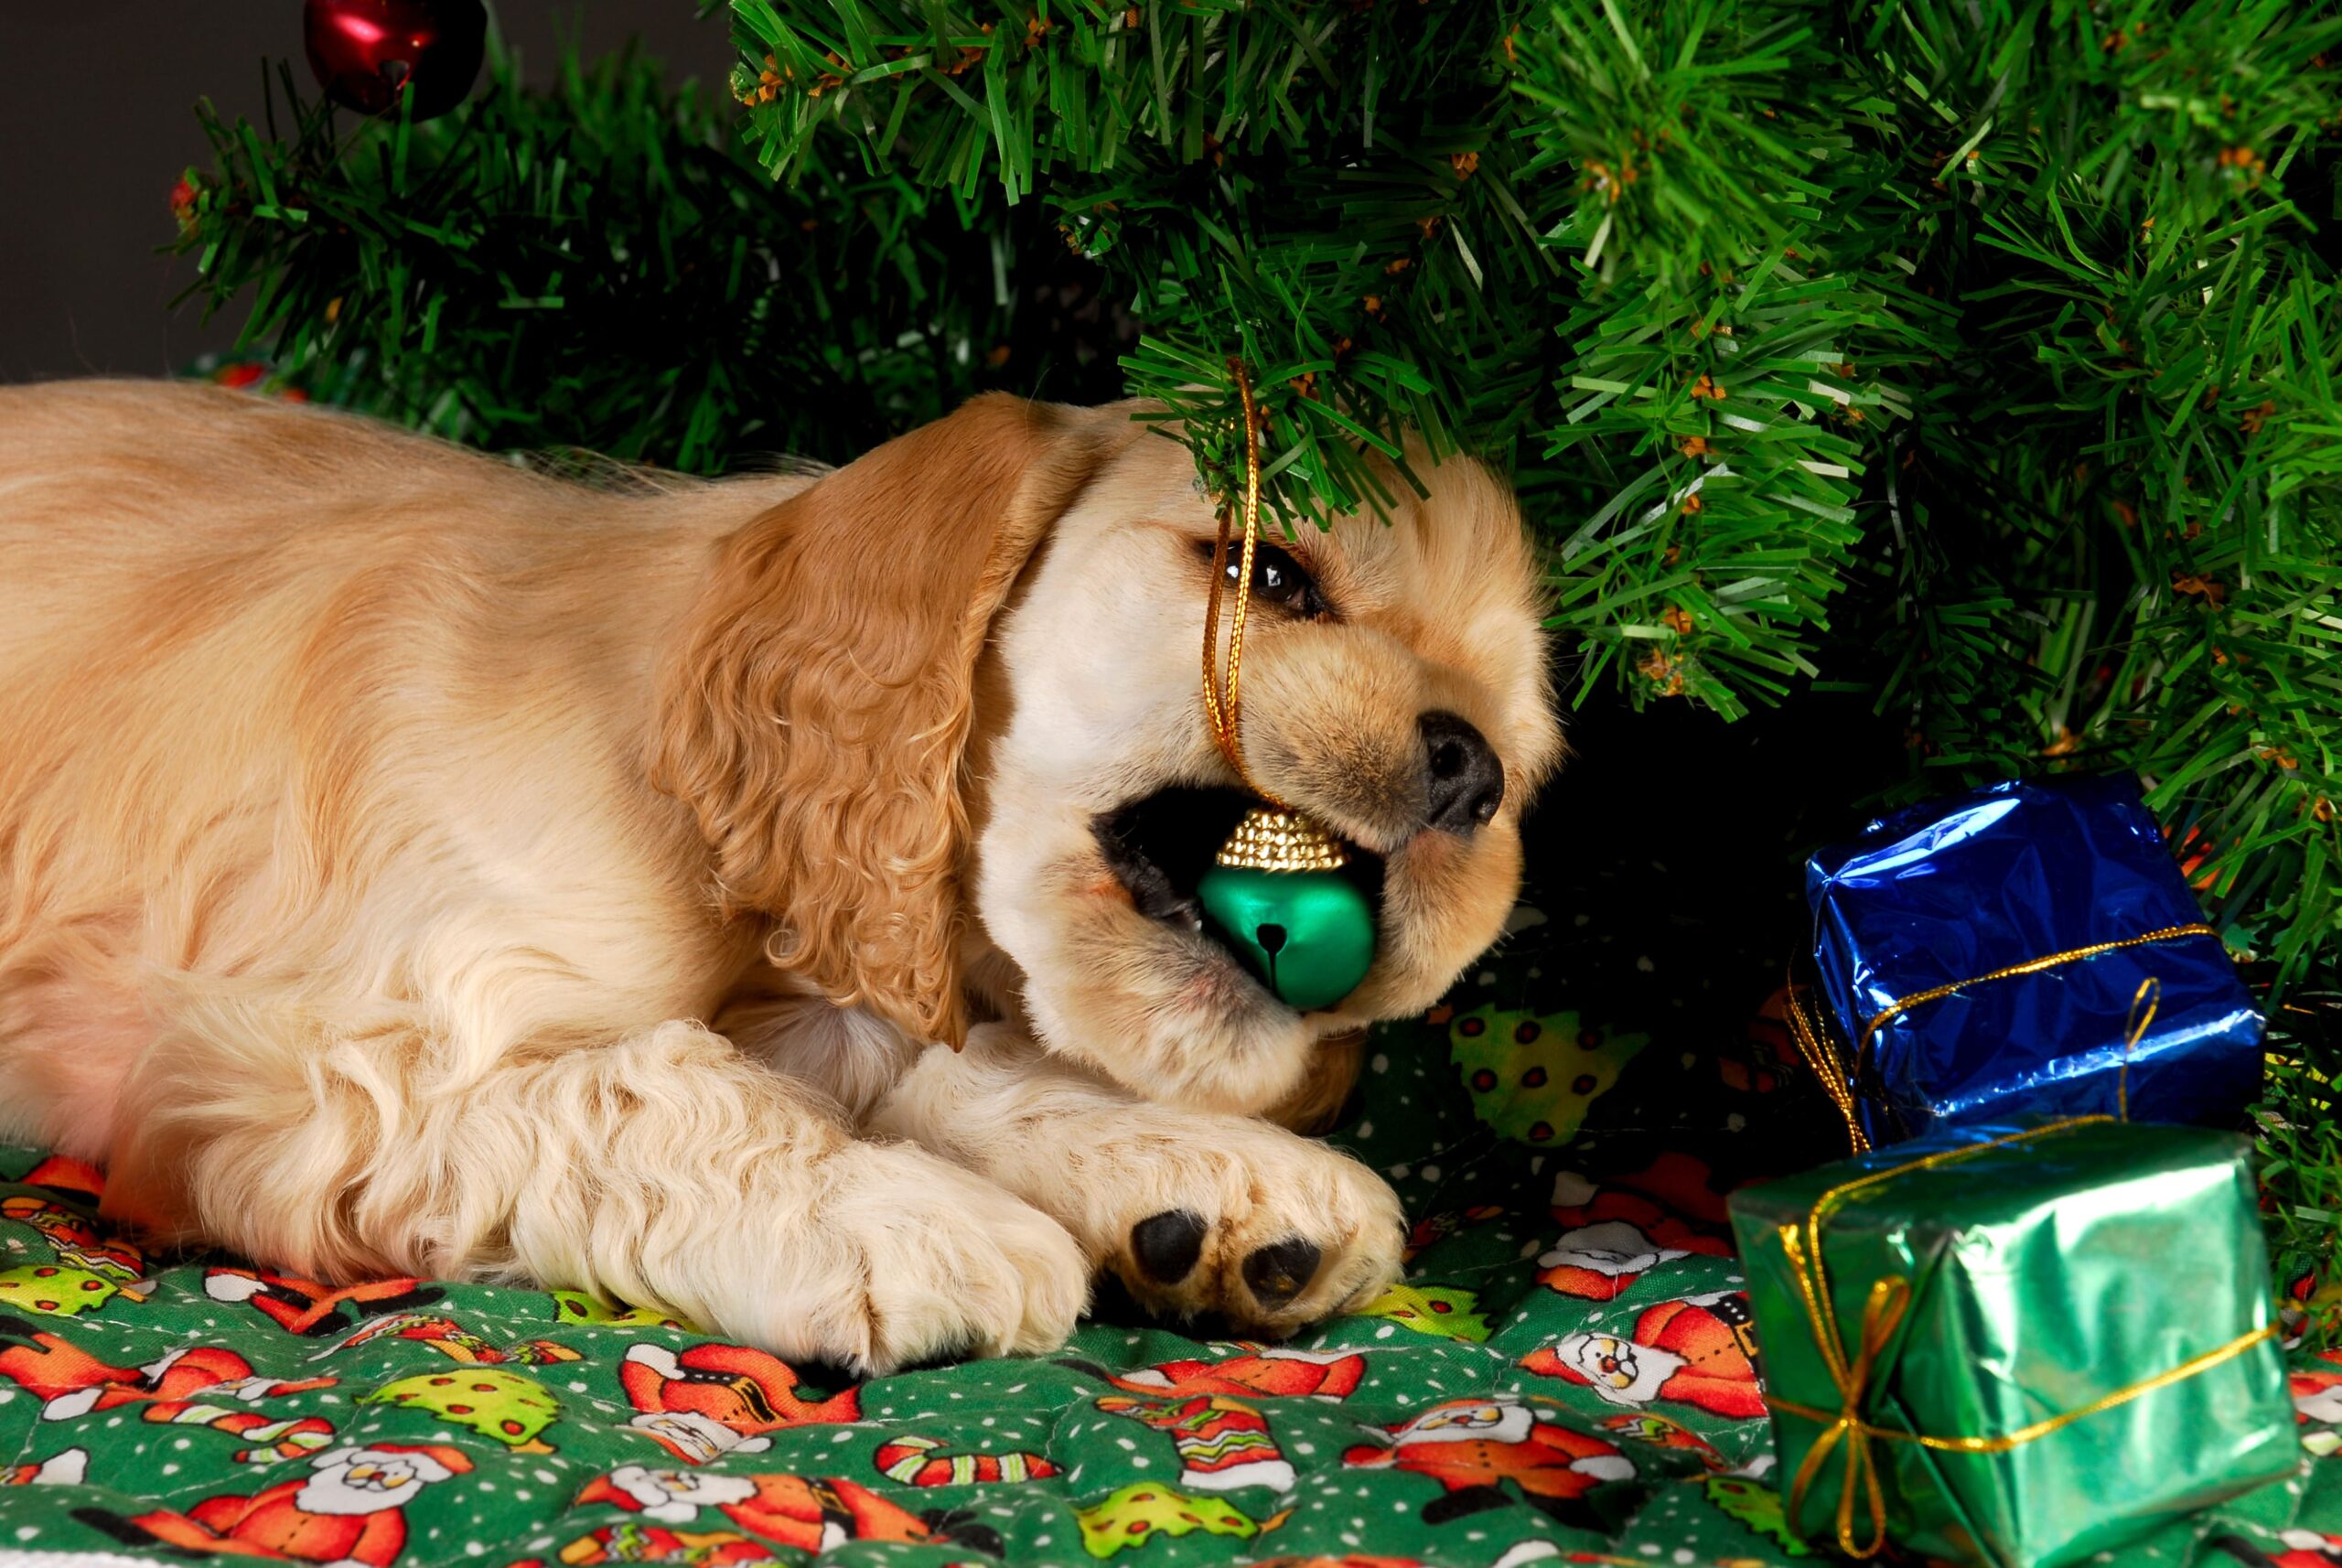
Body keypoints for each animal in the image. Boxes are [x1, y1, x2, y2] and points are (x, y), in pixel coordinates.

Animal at [5, 383, 1574, 1376]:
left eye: (1528, 744)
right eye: (1267, 572)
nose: (1469, 770)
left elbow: (913, 1054)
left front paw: (1212, 1177)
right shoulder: (301, 1070)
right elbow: (657, 1084)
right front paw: (908, 1220)